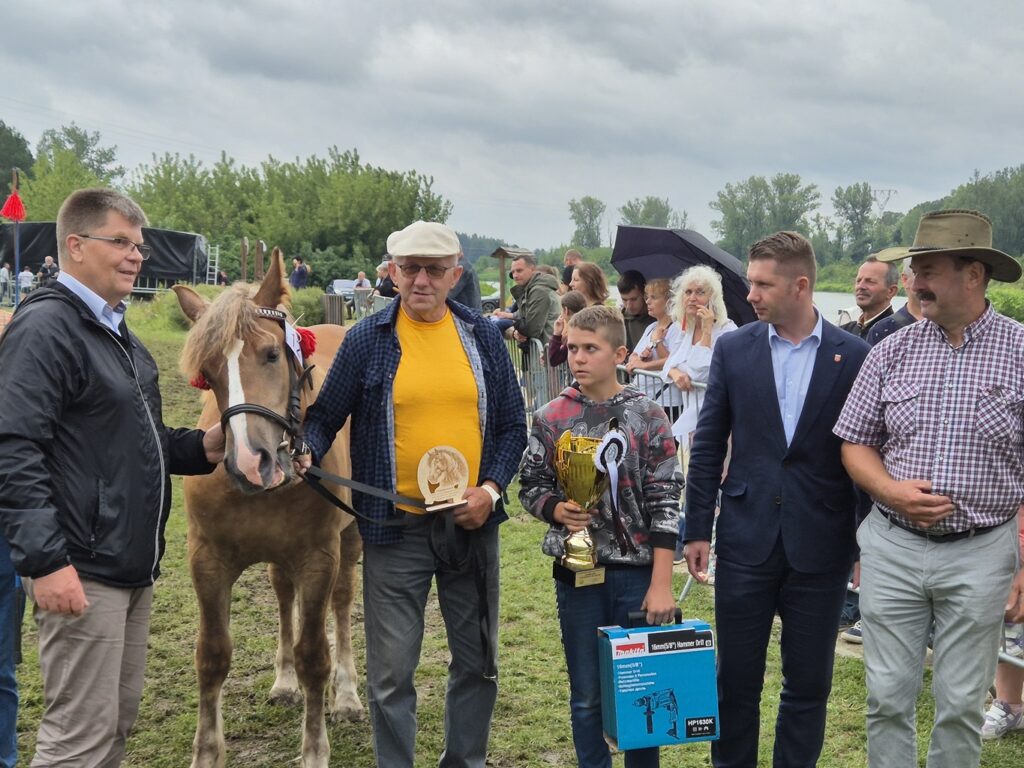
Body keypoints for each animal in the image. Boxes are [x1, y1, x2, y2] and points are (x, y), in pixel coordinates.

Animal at [176, 249, 364, 765]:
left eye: (272, 354)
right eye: (208, 373)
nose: (249, 461)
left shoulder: (320, 558)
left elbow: (314, 655)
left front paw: (315, 749)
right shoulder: (207, 560)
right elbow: (212, 655)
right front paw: (207, 752)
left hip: (350, 538)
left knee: (343, 603)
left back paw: (348, 694)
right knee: (282, 595)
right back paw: (283, 682)